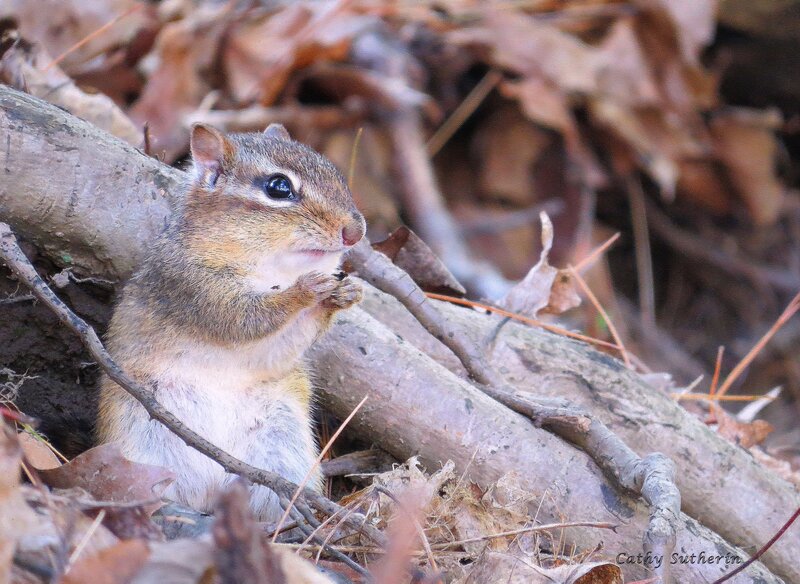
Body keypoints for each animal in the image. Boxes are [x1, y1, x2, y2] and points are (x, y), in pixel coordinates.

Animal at [96, 122, 365, 521]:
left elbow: (281, 347)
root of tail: (210, 494)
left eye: (337, 175)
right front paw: (303, 291)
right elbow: (242, 320)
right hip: (138, 449)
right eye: (279, 187)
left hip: (282, 448)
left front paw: (343, 295)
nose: (356, 232)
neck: (271, 269)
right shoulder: (192, 286)